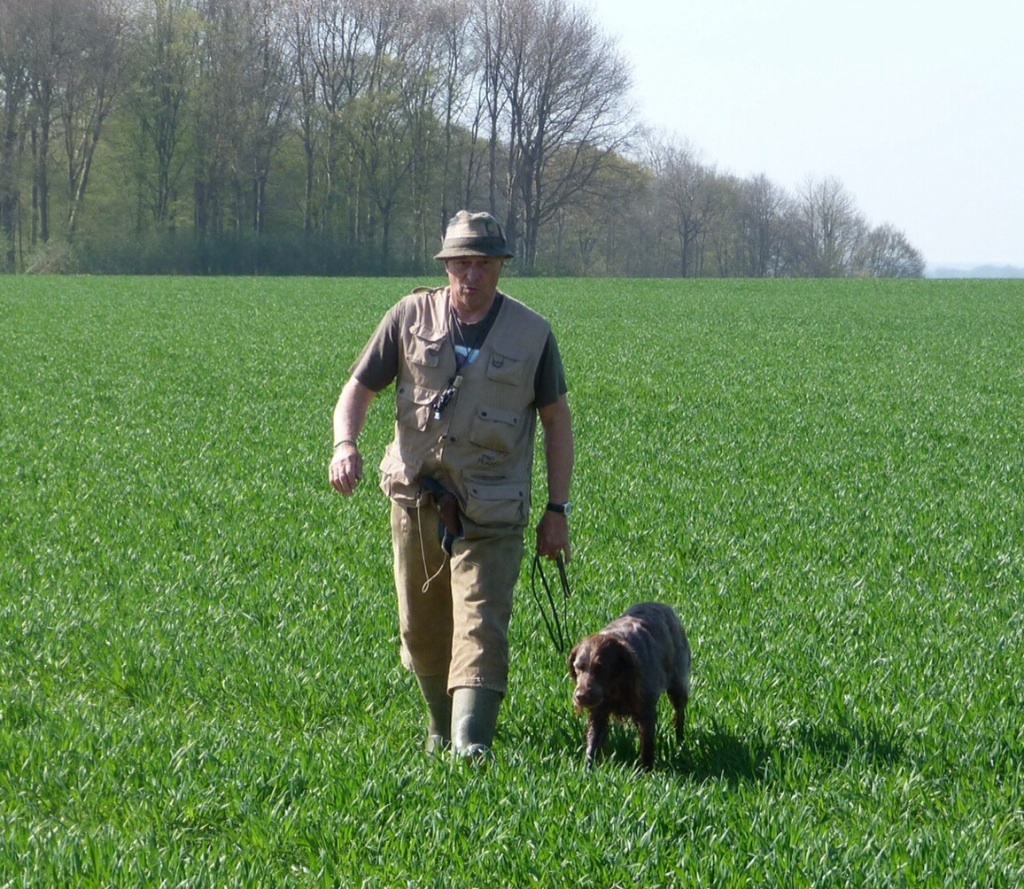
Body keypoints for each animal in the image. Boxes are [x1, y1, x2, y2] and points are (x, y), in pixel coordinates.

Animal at [565, 602, 692, 770]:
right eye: (578, 667)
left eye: (600, 668)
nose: (581, 696)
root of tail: (664, 606)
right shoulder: (599, 713)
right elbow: (592, 743)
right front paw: (588, 769)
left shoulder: (646, 711)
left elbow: (647, 745)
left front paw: (646, 771)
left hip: (678, 685)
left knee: (679, 714)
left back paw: (680, 743)